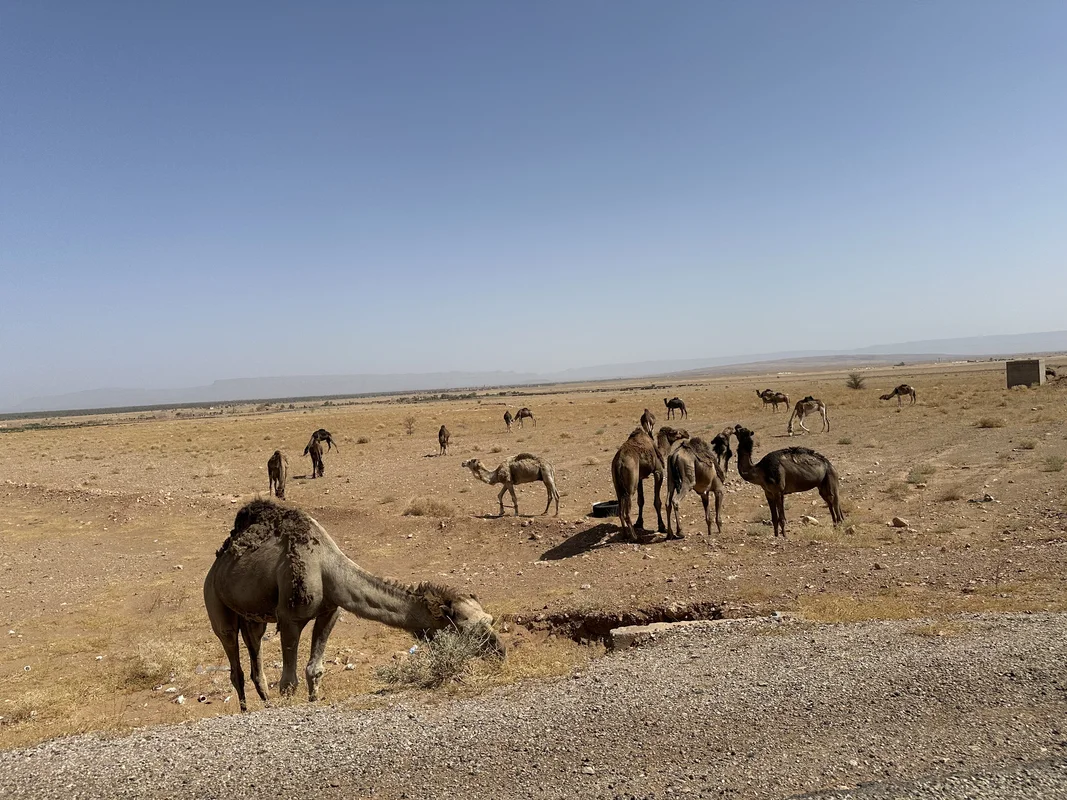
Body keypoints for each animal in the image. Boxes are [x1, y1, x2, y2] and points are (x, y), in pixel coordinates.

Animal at [204, 499, 503, 711]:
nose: (501, 652)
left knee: (255, 654)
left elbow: (315, 669)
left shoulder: (330, 612)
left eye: (489, 620)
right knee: (234, 658)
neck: (326, 565)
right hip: (215, 602)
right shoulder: (289, 618)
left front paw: (314, 700)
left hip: (254, 618)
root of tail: (217, 563)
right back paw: (246, 709)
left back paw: (264, 703)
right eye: (468, 629)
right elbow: (289, 682)